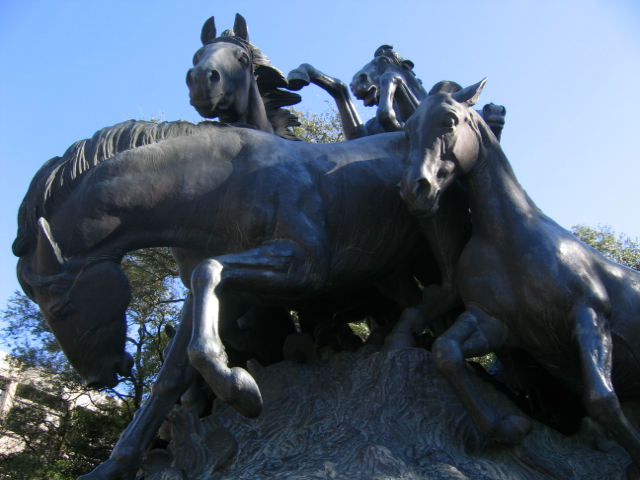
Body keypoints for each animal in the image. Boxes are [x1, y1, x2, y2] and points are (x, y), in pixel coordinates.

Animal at [15, 117, 440, 480]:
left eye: (61, 309)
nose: (100, 375)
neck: (221, 185)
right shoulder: (216, 296)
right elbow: (170, 377)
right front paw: (113, 466)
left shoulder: (303, 265)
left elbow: (208, 274)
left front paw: (239, 388)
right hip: (393, 272)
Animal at [402, 79, 640, 468]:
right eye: (407, 128)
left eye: (449, 120)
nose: (414, 190)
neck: (506, 240)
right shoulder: (495, 322)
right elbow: (445, 352)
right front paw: (508, 429)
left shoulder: (589, 314)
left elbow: (602, 400)